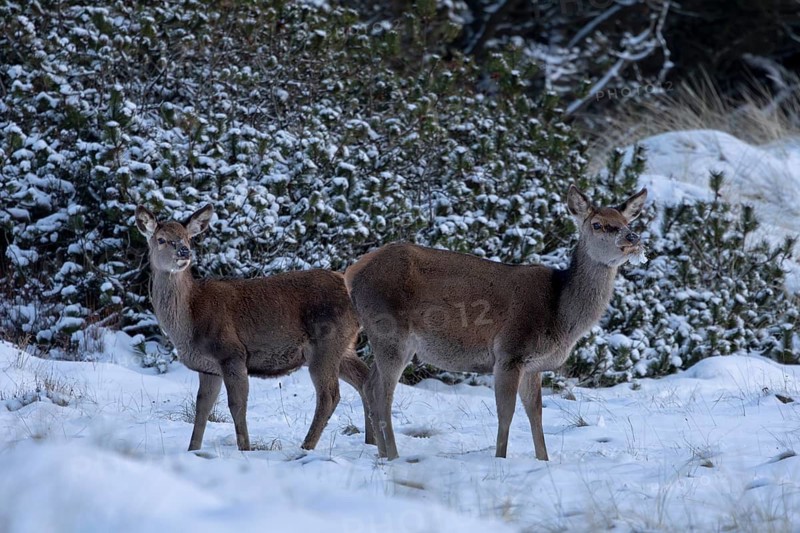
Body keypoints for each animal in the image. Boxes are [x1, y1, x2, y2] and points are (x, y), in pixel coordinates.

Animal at [135, 204, 374, 452]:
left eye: (187, 238)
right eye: (161, 239)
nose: (184, 252)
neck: (189, 321)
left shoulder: (231, 352)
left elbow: (237, 405)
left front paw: (245, 449)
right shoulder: (208, 367)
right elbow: (202, 408)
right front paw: (193, 450)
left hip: (327, 340)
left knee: (329, 395)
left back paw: (306, 447)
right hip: (344, 345)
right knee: (365, 379)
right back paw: (371, 442)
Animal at [345, 184, 647, 460]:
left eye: (627, 222)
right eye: (598, 224)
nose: (633, 237)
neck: (560, 314)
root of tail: (351, 272)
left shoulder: (533, 365)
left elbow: (535, 414)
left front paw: (543, 460)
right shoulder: (510, 351)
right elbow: (507, 413)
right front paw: (500, 459)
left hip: (389, 340)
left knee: (369, 384)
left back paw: (380, 453)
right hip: (390, 331)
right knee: (383, 393)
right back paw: (394, 456)